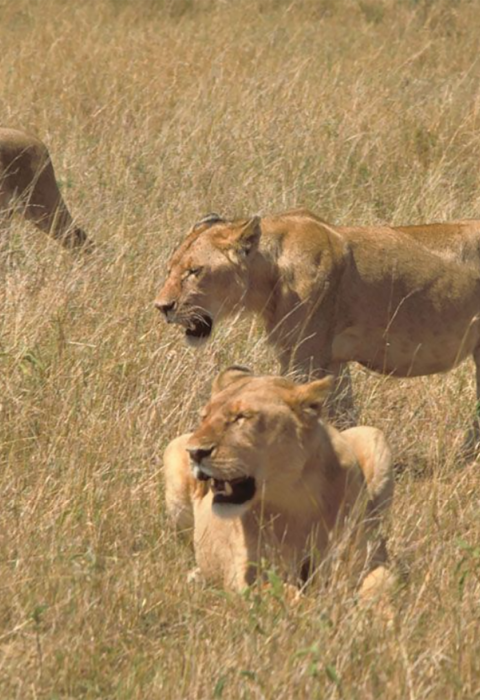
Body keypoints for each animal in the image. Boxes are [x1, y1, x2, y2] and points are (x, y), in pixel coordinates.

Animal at [155, 209, 480, 427]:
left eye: (195, 271)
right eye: (170, 268)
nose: (161, 306)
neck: (269, 274)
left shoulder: (306, 357)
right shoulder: (329, 360)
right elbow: (345, 415)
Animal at [163, 366, 395, 601]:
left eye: (242, 417)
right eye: (204, 417)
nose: (195, 452)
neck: (296, 498)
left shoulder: (368, 559)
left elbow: (385, 585)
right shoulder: (244, 578)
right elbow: (288, 596)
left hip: (373, 436)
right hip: (173, 452)